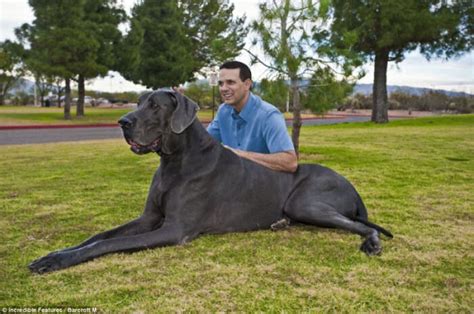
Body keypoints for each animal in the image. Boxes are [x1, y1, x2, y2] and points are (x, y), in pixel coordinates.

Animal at [28, 89, 392, 274]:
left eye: (154, 105)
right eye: (137, 102)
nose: (122, 122)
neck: (174, 161)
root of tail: (353, 187)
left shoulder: (174, 229)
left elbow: (108, 245)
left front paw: (58, 261)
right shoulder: (148, 218)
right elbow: (98, 236)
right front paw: (54, 254)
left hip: (305, 201)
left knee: (364, 226)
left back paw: (371, 243)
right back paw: (280, 223)